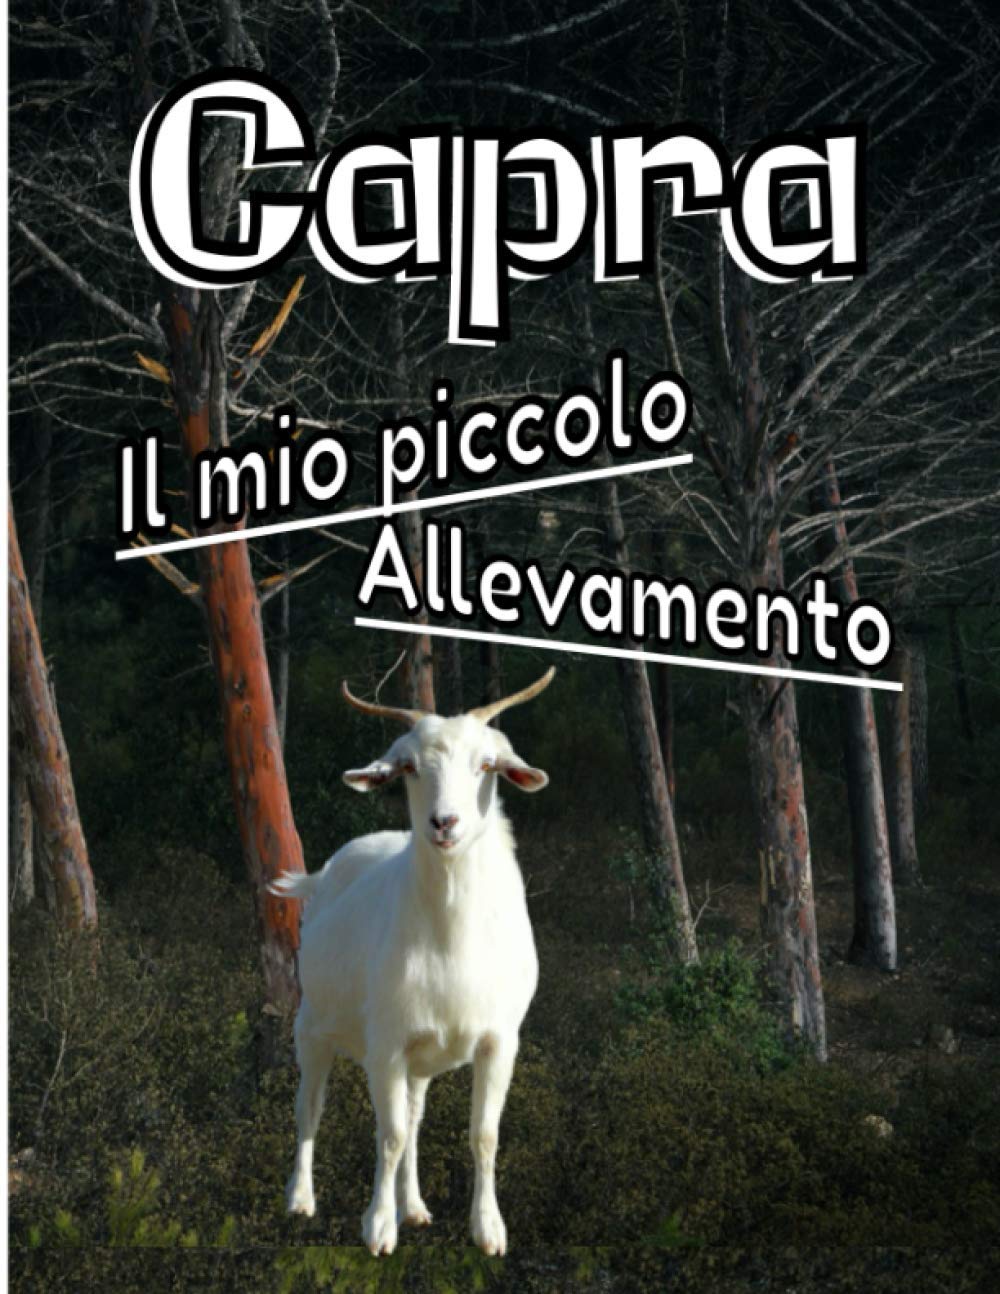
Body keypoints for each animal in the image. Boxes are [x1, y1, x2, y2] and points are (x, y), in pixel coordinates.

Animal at [270, 667, 554, 1256]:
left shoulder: (498, 1040)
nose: (444, 822)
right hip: (312, 1026)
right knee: (309, 1107)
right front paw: (378, 1228)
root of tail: (323, 875)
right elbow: (390, 1134)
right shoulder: (386, 1043)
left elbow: (482, 1134)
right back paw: (300, 1199)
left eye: (485, 765)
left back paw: (416, 1207)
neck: (452, 939)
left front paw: (488, 1229)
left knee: (417, 1116)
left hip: (421, 1059)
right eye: (409, 768)